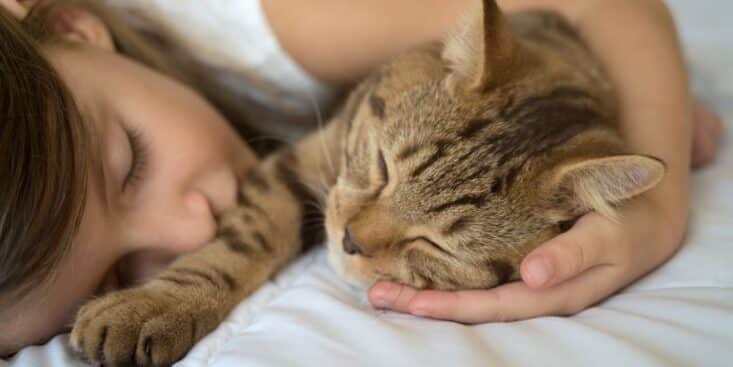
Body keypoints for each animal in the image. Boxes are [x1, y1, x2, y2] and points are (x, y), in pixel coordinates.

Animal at [68, 1, 664, 366]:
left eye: (436, 245)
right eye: (381, 165)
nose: (350, 240)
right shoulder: (302, 159)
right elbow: (241, 244)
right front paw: (157, 306)